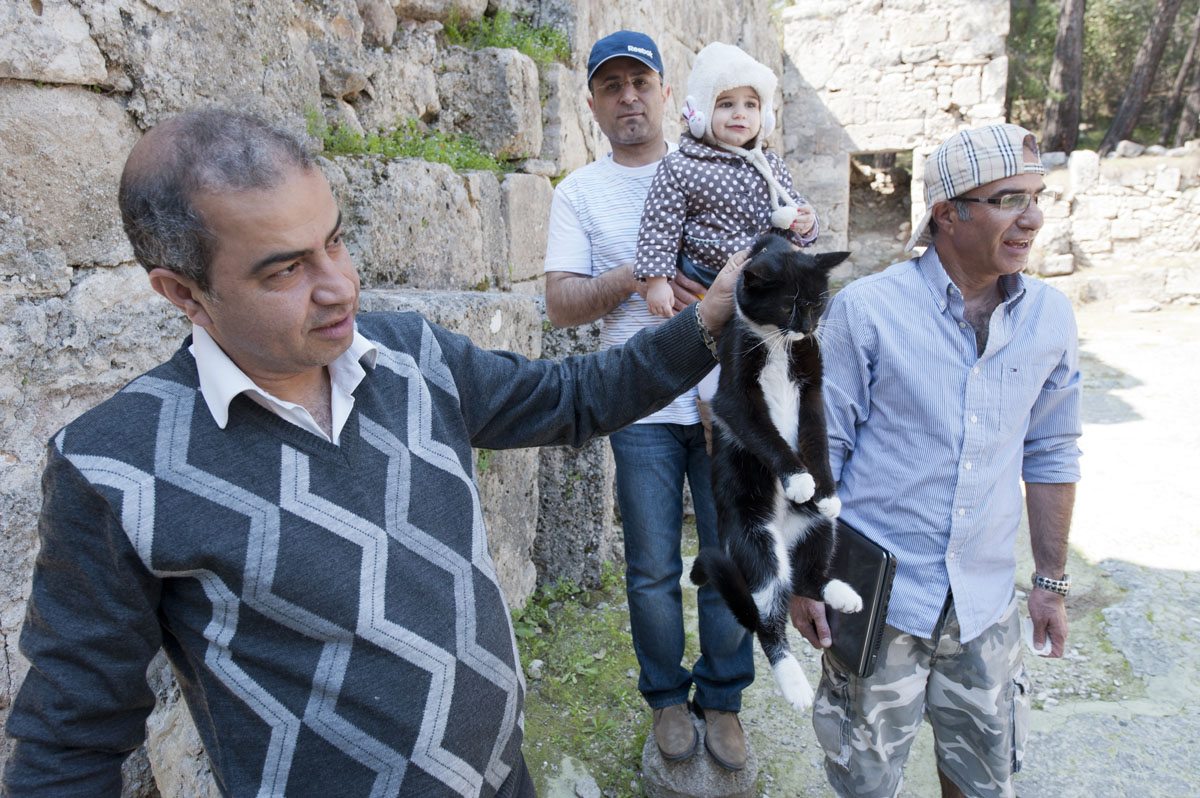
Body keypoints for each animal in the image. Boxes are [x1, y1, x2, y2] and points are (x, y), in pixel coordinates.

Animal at [696, 234, 864, 710]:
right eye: (788, 303)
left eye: (819, 301)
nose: (806, 327)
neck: (778, 346)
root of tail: (785, 536)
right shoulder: (733, 392)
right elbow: (765, 434)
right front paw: (798, 477)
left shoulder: (813, 387)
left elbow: (816, 437)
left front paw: (822, 486)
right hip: (755, 540)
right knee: (768, 614)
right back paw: (795, 683)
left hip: (818, 529)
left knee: (807, 577)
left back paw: (842, 592)